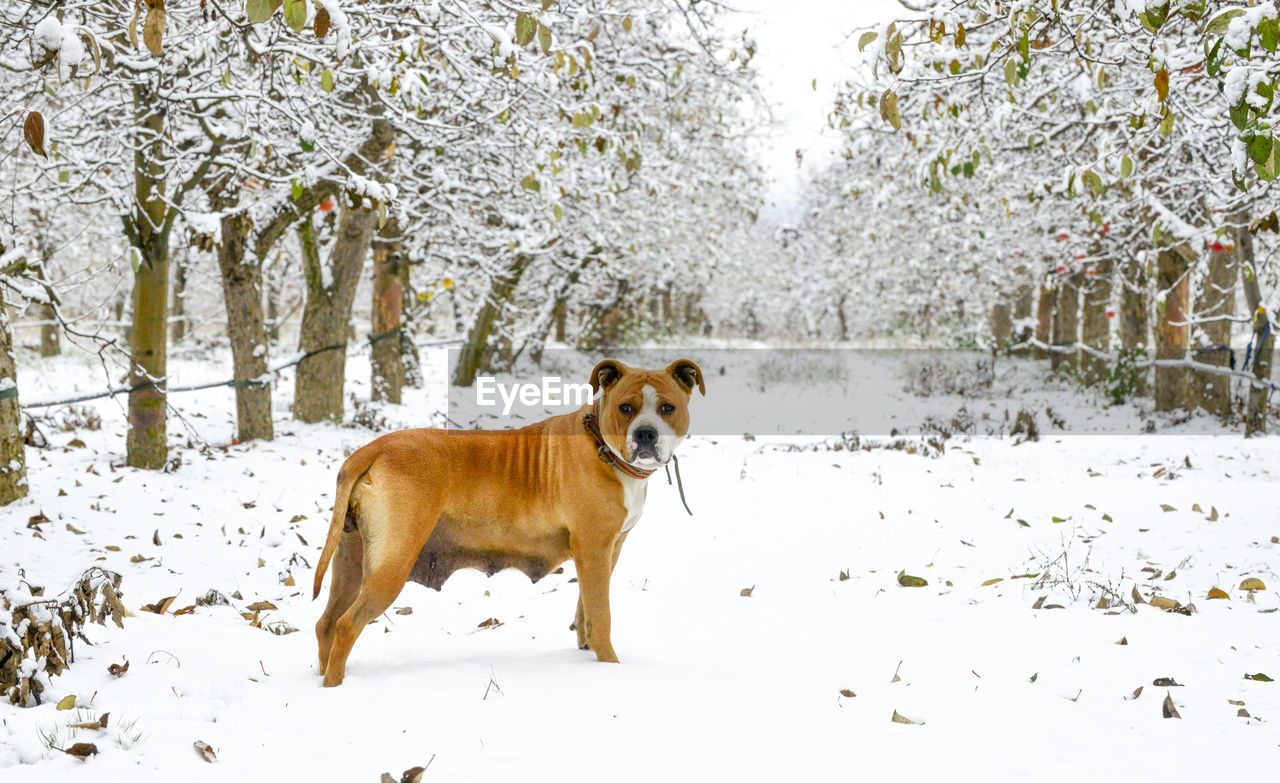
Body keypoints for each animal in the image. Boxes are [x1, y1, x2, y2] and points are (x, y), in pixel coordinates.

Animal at [314, 358, 706, 685]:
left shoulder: (606, 552)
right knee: (347, 624)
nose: (646, 433)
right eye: (627, 408)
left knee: (327, 623)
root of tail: (373, 449)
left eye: (667, 408)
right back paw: (335, 686)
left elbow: (586, 609)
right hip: (392, 565)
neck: (603, 448)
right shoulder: (594, 549)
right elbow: (602, 615)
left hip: (351, 560)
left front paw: (588, 650)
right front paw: (610, 667)